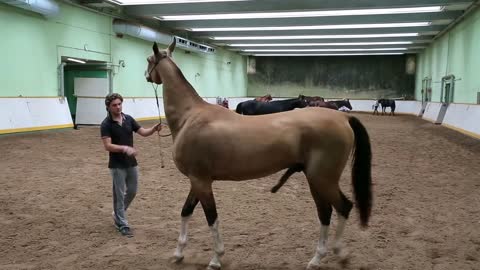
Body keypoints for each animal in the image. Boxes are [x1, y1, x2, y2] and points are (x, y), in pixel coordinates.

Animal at [144, 40, 374, 270]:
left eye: (148, 60)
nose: (146, 75)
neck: (190, 117)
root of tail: (343, 118)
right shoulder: (197, 180)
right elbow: (186, 211)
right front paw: (178, 253)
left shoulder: (201, 181)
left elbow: (211, 218)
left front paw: (216, 258)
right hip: (315, 180)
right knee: (325, 213)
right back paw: (320, 257)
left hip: (322, 179)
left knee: (343, 207)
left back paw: (333, 255)